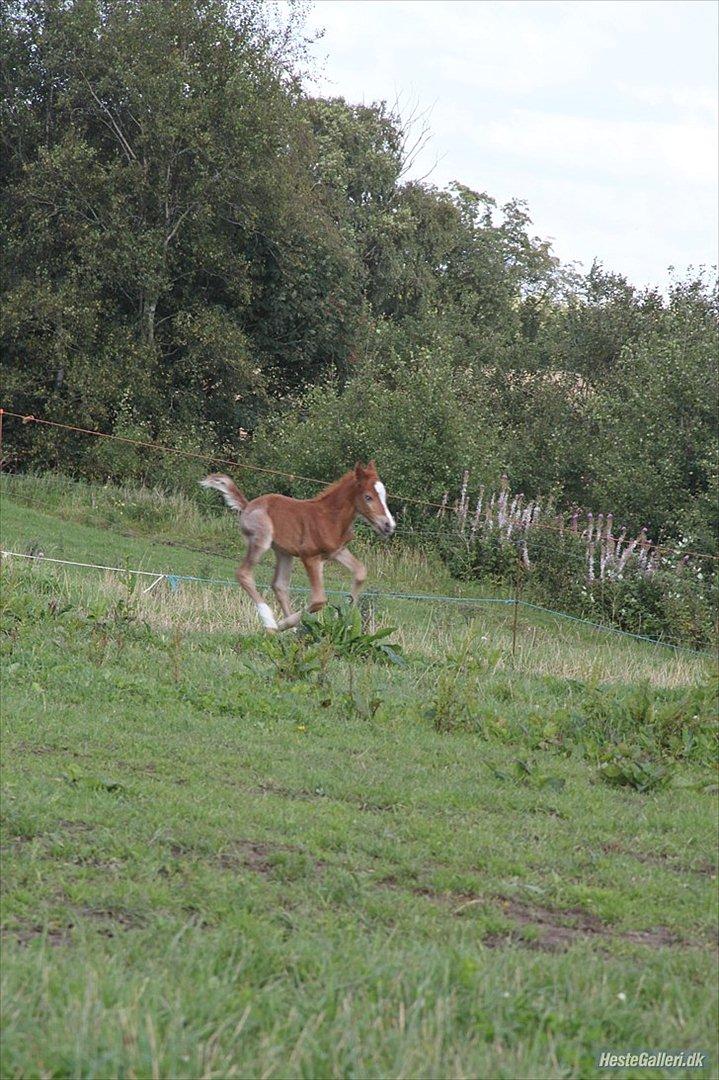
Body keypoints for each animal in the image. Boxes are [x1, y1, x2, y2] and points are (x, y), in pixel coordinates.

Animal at [198, 460, 395, 630]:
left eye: (384, 495)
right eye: (368, 497)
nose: (389, 525)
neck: (330, 517)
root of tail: (247, 506)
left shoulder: (336, 551)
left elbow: (361, 572)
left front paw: (344, 616)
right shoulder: (310, 556)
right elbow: (318, 599)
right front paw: (282, 624)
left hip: (284, 552)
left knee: (279, 585)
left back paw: (289, 630)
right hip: (262, 539)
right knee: (244, 574)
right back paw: (271, 623)